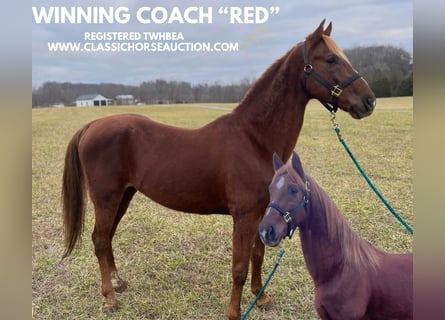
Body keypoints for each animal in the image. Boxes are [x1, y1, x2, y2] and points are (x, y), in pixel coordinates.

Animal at [61, 20, 374, 320]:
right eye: (331, 59)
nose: (369, 101)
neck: (254, 139)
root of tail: (92, 125)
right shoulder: (244, 216)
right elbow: (239, 266)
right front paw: (234, 312)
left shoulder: (262, 212)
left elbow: (257, 255)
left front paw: (261, 298)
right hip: (106, 198)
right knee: (100, 240)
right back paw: (110, 299)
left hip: (123, 196)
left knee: (107, 238)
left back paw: (117, 283)